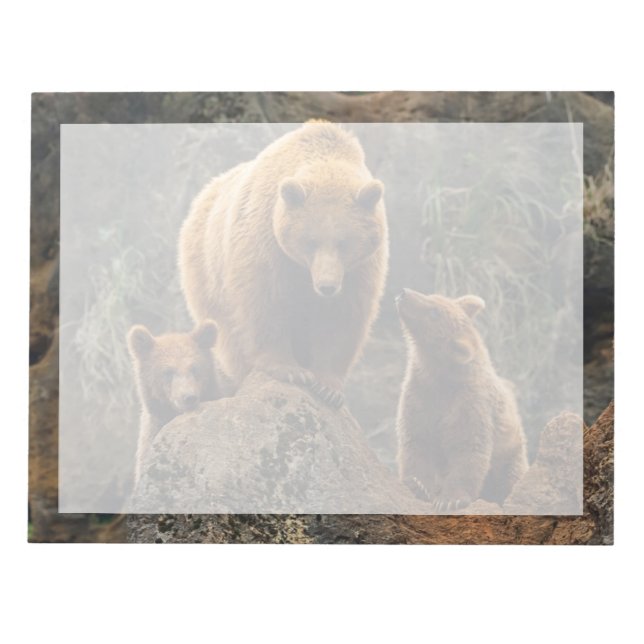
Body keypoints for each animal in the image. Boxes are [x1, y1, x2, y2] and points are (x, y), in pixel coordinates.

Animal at [178, 121, 389, 407]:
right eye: (310, 241)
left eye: (344, 242)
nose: (326, 286)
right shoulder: (265, 240)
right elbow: (264, 301)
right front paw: (290, 371)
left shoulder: (360, 268)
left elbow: (344, 316)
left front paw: (328, 386)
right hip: (207, 274)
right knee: (229, 334)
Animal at [395, 289, 529, 511]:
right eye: (433, 296)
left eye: (434, 312)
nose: (404, 293)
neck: (439, 376)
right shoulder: (420, 395)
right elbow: (416, 441)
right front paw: (418, 485)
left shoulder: (470, 403)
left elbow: (468, 448)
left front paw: (450, 500)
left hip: (510, 455)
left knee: (511, 479)